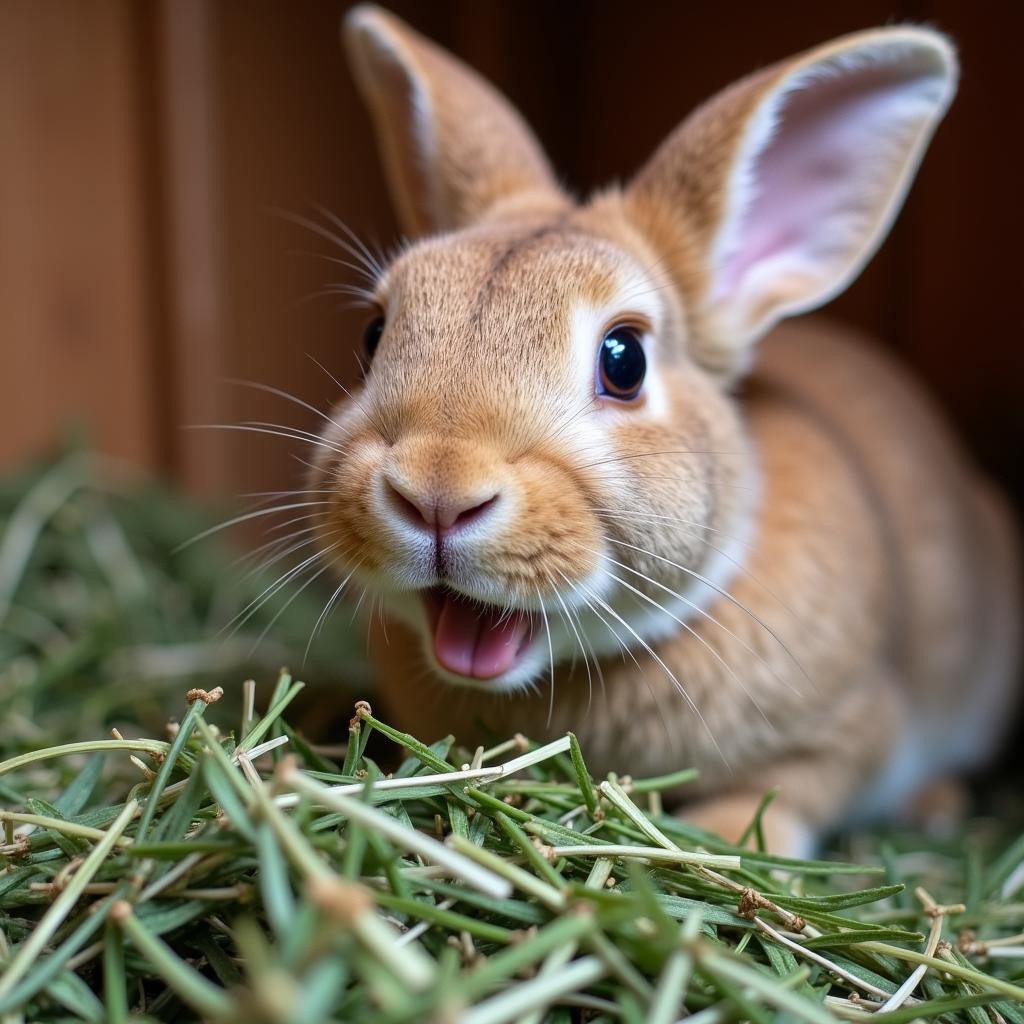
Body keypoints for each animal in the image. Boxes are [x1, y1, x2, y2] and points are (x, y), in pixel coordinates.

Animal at [305, 6, 1024, 856]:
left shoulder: (852, 726)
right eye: (374, 335)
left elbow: (793, 786)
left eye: (625, 360)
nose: (437, 493)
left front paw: (732, 836)